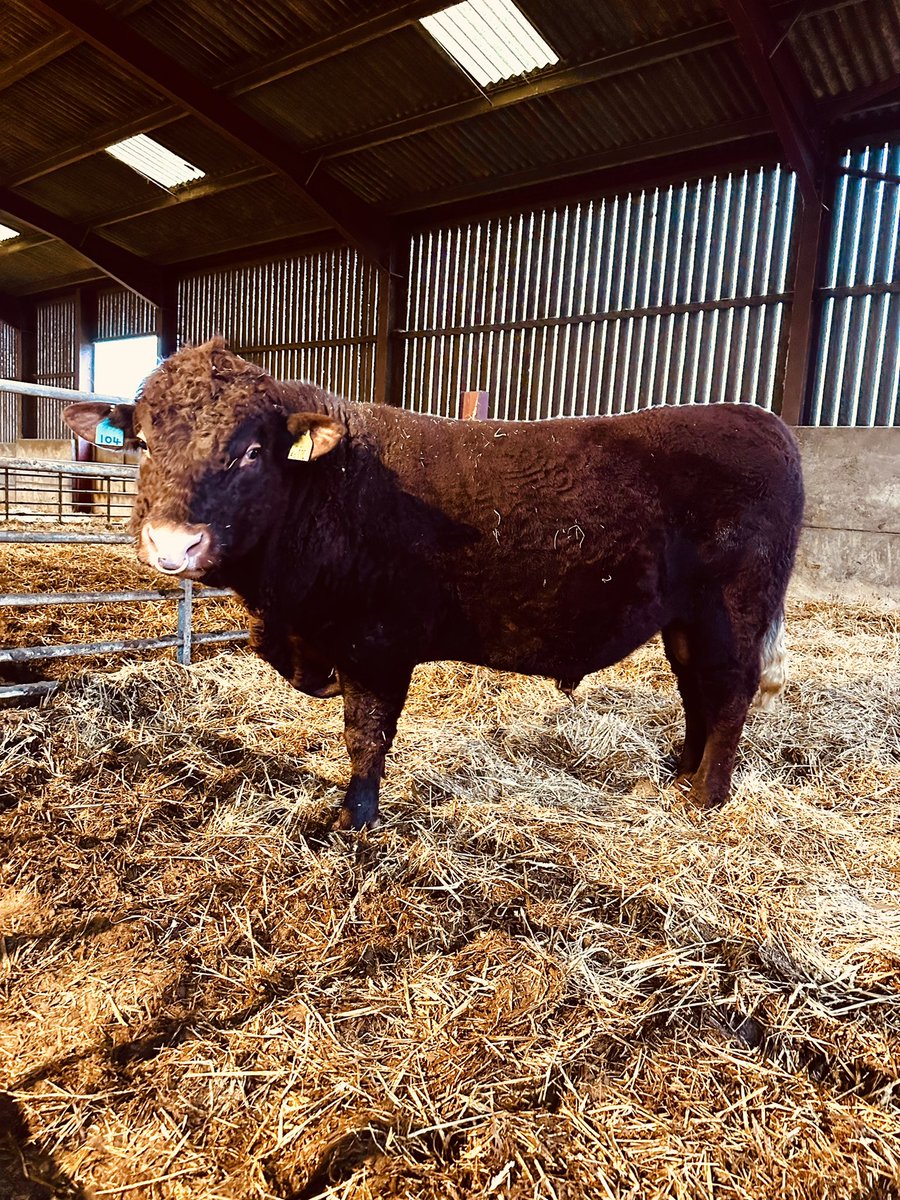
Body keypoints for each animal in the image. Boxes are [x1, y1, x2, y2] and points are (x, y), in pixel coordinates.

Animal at [64, 338, 804, 830]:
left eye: (250, 451)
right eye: (145, 444)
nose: (172, 543)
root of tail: (761, 419)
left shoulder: (377, 645)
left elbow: (365, 733)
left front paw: (354, 818)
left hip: (735, 607)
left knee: (730, 691)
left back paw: (706, 797)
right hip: (687, 619)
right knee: (695, 688)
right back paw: (677, 775)